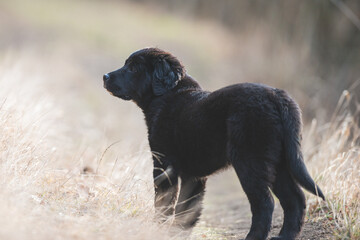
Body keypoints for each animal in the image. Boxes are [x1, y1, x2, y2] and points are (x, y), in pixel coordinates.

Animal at [102, 47, 324, 239]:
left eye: (133, 68)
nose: (105, 77)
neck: (168, 96)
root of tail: (277, 96)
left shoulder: (163, 163)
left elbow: (165, 202)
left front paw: (158, 230)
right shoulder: (192, 174)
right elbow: (187, 206)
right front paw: (178, 233)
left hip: (251, 162)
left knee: (265, 203)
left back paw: (253, 237)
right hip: (281, 162)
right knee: (295, 199)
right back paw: (284, 236)